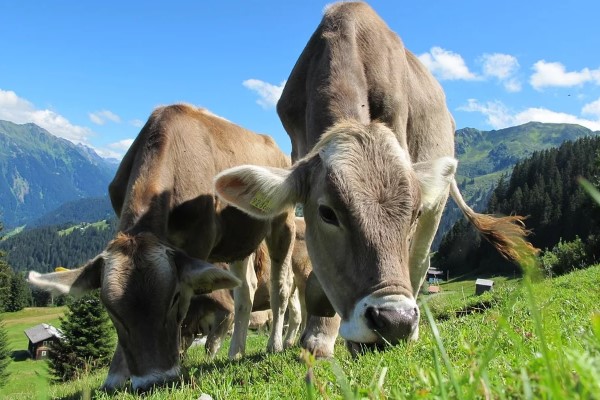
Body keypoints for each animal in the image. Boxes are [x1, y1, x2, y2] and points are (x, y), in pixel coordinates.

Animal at [28, 104, 296, 392]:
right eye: (110, 310)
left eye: (174, 298)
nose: (153, 382)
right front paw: (115, 375)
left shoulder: (197, 244)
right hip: (239, 240)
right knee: (245, 289)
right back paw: (236, 351)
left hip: (283, 221)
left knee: (280, 286)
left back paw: (275, 344)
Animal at [216, 1, 536, 358]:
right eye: (327, 213)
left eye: (413, 213)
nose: (395, 321)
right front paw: (318, 338)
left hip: (437, 205)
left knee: (420, 262)